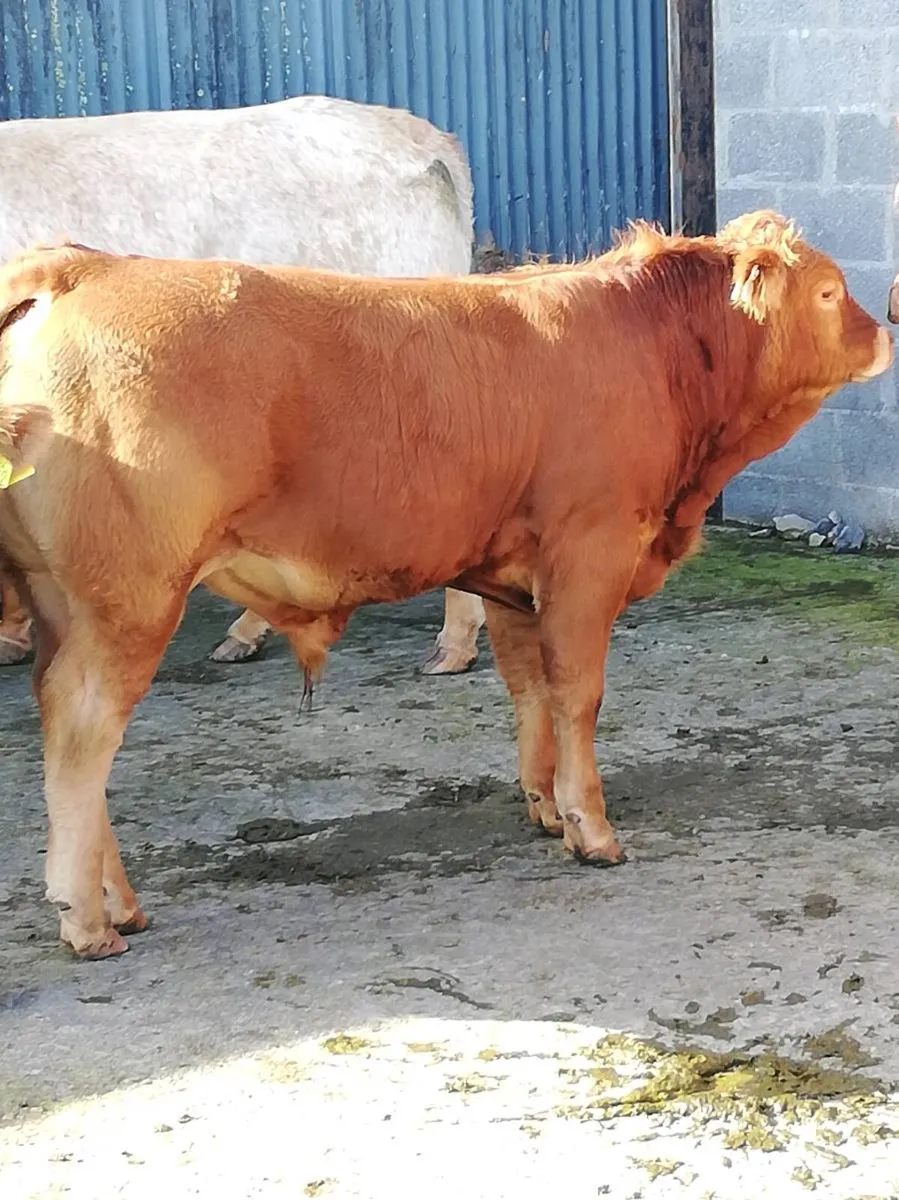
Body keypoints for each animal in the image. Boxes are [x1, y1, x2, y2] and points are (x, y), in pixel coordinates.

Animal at [0, 210, 891, 960]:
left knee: (64, 722)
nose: (882, 330)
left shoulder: (514, 577)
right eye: (827, 291)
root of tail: (85, 266)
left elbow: (529, 688)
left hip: (66, 607)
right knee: (81, 740)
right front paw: (590, 828)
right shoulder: (588, 554)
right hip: (128, 604)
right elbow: (577, 693)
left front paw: (543, 805)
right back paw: (88, 920)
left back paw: (119, 904)